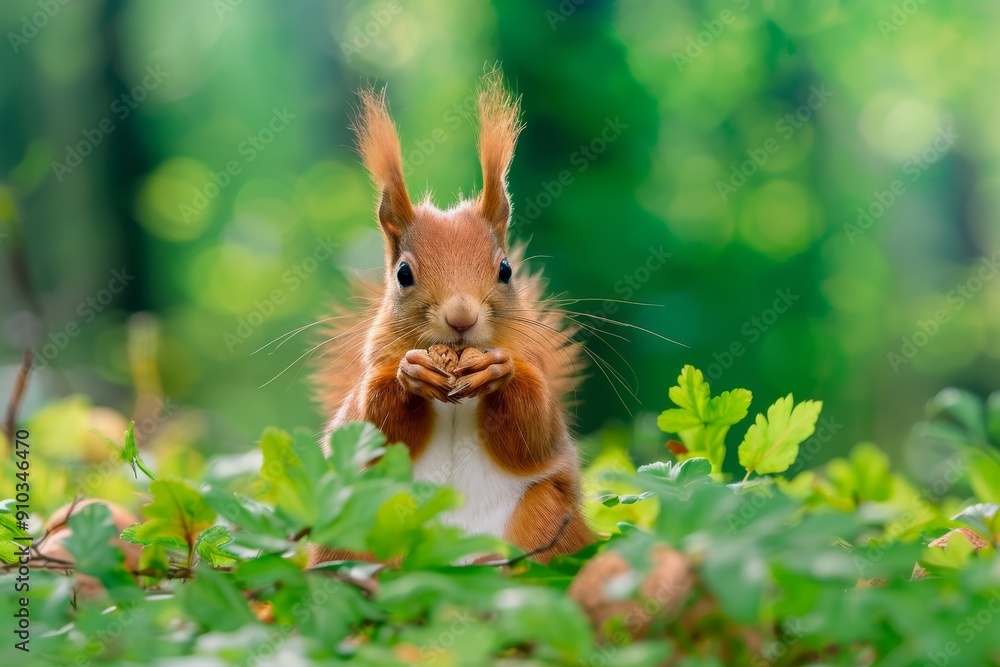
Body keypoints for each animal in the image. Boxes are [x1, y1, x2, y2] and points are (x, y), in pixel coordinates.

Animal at [312, 71, 594, 564]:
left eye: (506, 270)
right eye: (403, 274)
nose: (461, 317)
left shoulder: (541, 403)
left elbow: (535, 431)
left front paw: (499, 370)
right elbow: (372, 426)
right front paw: (411, 372)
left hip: (545, 520)